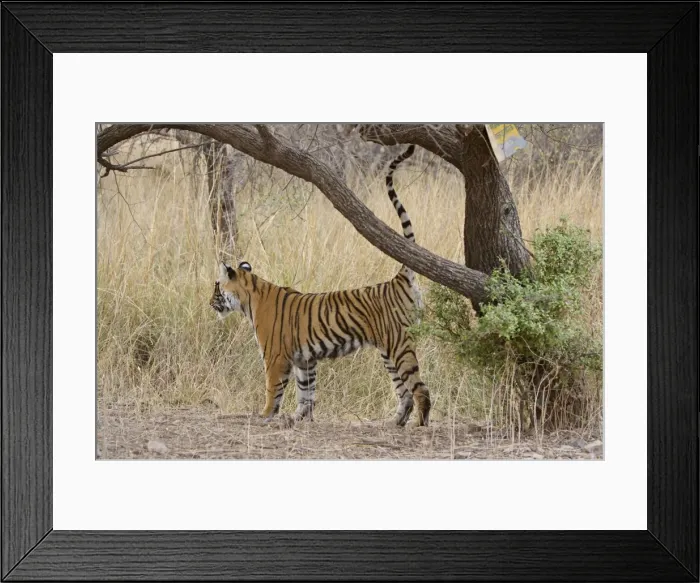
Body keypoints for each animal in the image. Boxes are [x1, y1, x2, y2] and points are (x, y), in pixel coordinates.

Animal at [209, 145, 430, 427]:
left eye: (217, 287)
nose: (210, 302)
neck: (250, 299)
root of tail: (399, 278)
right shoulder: (305, 359)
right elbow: (307, 391)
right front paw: (299, 417)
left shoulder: (275, 355)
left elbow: (273, 388)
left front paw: (266, 414)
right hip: (387, 350)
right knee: (403, 391)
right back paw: (395, 421)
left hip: (399, 344)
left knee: (419, 387)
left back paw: (420, 424)